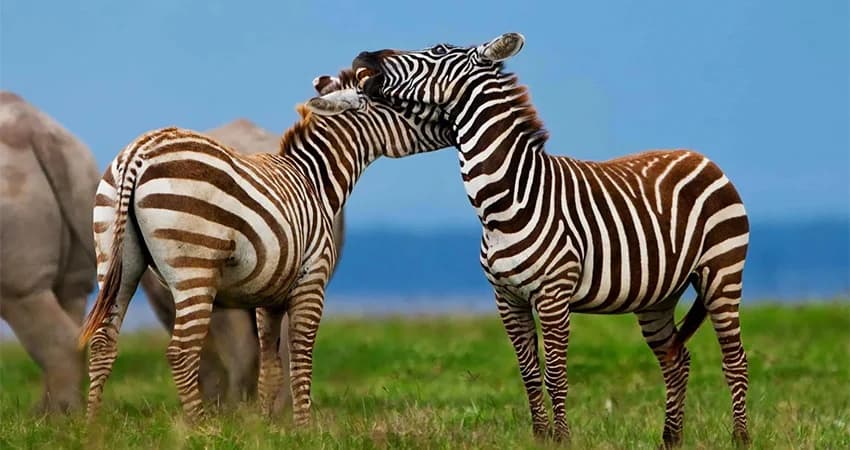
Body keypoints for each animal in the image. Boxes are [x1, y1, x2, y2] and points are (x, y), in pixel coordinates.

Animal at [78, 70, 454, 424]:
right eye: (403, 103)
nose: (450, 122)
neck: (315, 181)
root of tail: (138, 154)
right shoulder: (311, 280)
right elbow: (300, 356)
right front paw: (303, 429)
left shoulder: (269, 295)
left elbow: (270, 366)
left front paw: (265, 425)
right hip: (194, 268)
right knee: (181, 351)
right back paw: (200, 428)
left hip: (116, 259)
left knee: (103, 341)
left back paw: (94, 426)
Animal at [352, 33, 751, 447]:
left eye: (439, 51)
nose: (364, 56)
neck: (505, 200)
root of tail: (701, 157)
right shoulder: (507, 298)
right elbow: (529, 374)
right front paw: (540, 436)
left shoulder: (553, 295)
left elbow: (555, 374)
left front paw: (561, 438)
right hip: (657, 296)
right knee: (676, 360)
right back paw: (670, 438)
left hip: (722, 273)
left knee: (734, 360)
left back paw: (740, 437)